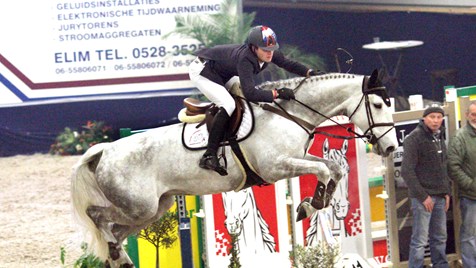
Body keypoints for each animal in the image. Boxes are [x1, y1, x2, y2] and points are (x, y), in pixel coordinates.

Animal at [70, 70, 398, 266]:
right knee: (98, 217)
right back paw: (115, 252)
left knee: (116, 231)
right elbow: (324, 171)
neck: (289, 114)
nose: (391, 148)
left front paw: (310, 204)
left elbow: (332, 169)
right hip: (139, 207)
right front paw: (309, 205)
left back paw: (118, 257)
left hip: (154, 209)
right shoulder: (278, 167)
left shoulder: (298, 159)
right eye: (378, 105)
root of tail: (105, 150)